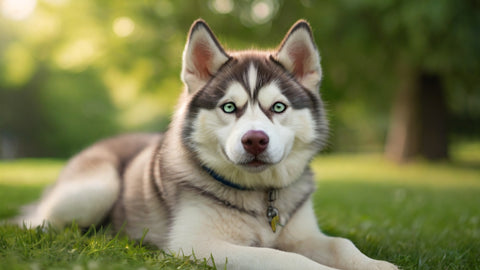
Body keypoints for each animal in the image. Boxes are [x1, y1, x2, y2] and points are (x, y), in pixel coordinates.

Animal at [15, 19, 398, 270]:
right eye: (229, 107)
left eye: (278, 107)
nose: (255, 139)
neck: (260, 197)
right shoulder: (197, 244)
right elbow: (284, 258)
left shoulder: (304, 234)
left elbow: (342, 244)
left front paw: (377, 265)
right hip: (96, 188)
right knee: (34, 222)